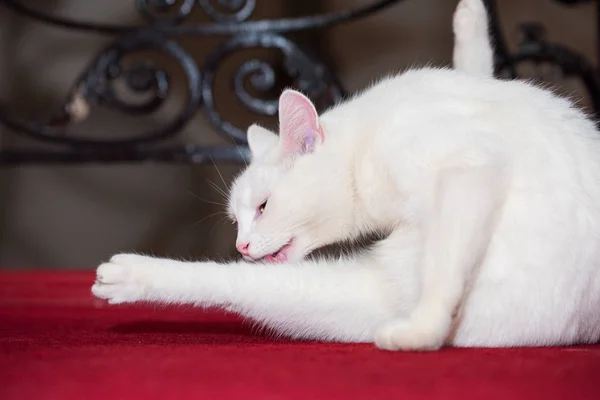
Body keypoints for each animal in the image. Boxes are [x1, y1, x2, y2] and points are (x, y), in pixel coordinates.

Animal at [91, 0, 600, 350]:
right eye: (236, 221)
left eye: (263, 207)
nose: (241, 245)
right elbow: (478, 66)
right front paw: (470, 20)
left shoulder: (470, 163)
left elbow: (444, 273)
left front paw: (423, 331)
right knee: (232, 284)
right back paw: (133, 275)